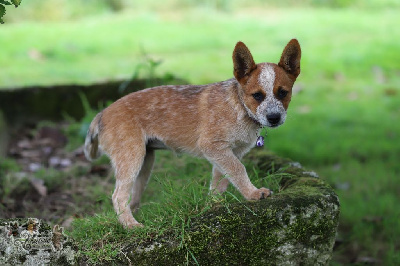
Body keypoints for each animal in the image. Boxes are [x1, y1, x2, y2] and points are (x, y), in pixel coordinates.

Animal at [86, 40, 302, 229]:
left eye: (283, 92)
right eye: (257, 95)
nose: (274, 118)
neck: (239, 107)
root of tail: (102, 114)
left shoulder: (231, 152)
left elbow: (221, 179)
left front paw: (214, 205)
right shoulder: (213, 146)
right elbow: (238, 170)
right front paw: (253, 193)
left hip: (145, 162)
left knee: (132, 196)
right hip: (131, 157)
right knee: (118, 196)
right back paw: (132, 226)